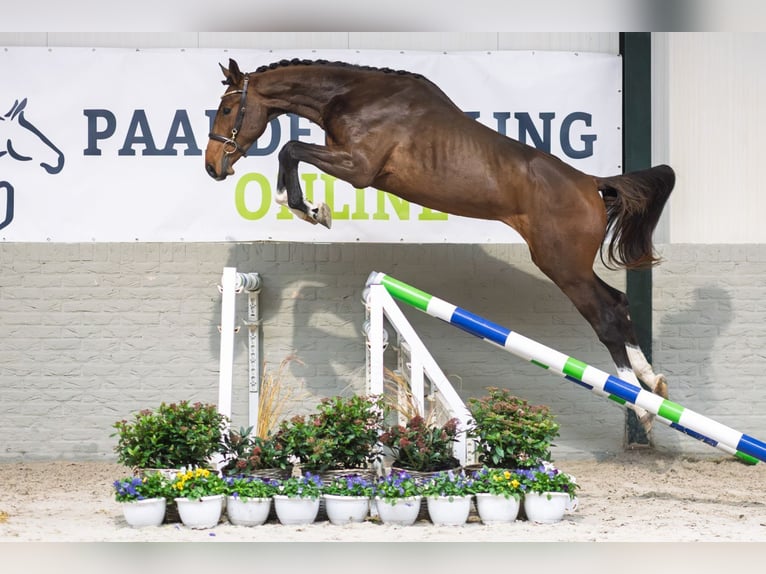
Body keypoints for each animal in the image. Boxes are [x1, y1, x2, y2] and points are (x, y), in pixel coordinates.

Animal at [206, 58, 680, 430]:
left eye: (227, 108)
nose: (213, 167)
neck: (352, 96)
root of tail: (592, 183)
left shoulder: (359, 168)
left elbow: (289, 148)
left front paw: (309, 209)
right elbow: (290, 154)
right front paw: (309, 208)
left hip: (562, 265)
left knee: (606, 316)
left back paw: (642, 407)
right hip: (569, 266)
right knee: (618, 303)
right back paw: (652, 386)